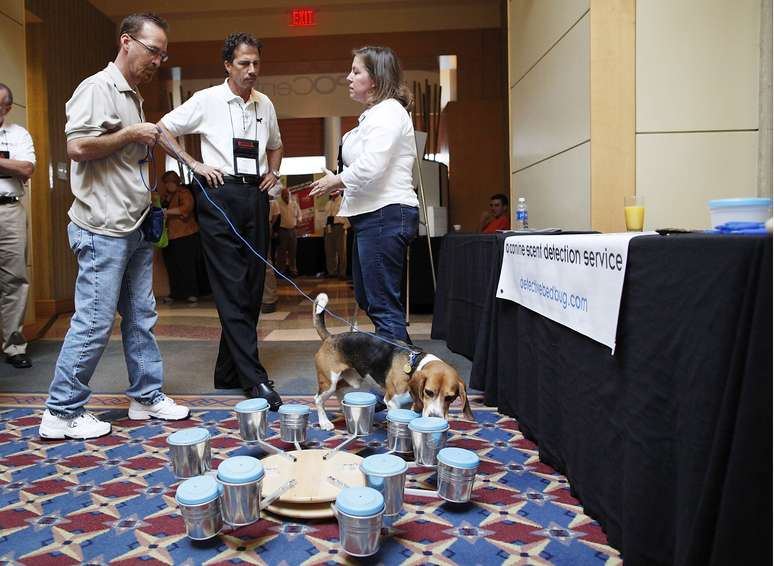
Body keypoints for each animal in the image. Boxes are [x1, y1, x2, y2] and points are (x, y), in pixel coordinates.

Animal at [310, 296, 472, 432]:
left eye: (450, 398)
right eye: (429, 392)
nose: (435, 418)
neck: (415, 367)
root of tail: (330, 337)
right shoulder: (392, 402)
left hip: (353, 379)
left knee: (339, 390)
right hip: (328, 382)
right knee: (318, 399)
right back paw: (324, 422)